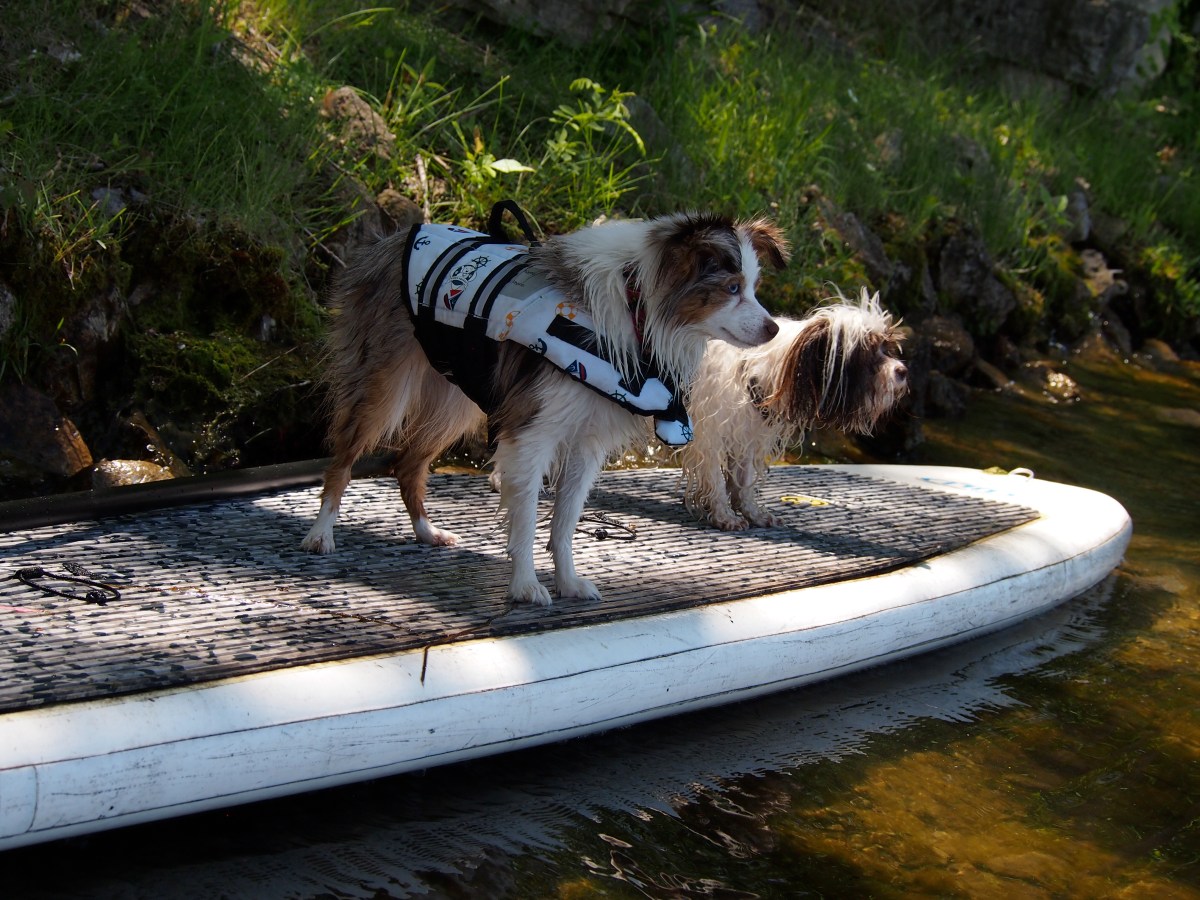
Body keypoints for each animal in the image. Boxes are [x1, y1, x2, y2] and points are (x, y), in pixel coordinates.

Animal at [301, 210, 789, 606]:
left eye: (754, 288)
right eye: (731, 289)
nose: (774, 329)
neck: (634, 309)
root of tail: (395, 238)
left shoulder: (586, 442)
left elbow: (565, 520)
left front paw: (567, 581)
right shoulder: (532, 434)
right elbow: (527, 520)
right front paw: (525, 586)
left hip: (457, 401)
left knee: (407, 466)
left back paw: (426, 531)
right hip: (385, 390)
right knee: (343, 460)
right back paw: (321, 533)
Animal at [681, 289, 907, 531]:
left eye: (885, 348)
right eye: (867, 352)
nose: (903, 370)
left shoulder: (745, 436)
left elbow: (744, 481)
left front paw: (753, 513)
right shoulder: (708, 436)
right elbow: (716, 479)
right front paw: (724, 515)